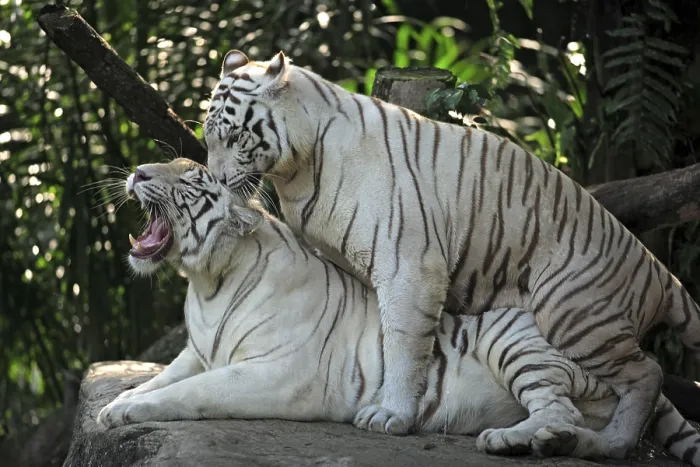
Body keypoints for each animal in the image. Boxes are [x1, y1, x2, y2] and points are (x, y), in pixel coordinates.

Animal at [95, 159, 700, 465]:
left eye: (189, 179)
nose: (137, 173)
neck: (208, 285)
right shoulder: (196, 351)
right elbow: (162, 379)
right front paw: (118, 403)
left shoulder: (275, 373)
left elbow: (191, 393)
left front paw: (127, 413)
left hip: (520, 342)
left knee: (563, 409)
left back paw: (515, 440)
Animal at [202, 49, 700, 460]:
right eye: (208, 140)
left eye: (235, 138)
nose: (219, 181)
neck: (296, 171)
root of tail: (657, 268)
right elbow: (375, 336)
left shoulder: (408, 265)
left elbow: (402, 343)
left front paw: (392, 415)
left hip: (575, 312)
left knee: (647, 373)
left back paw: (611, 443)